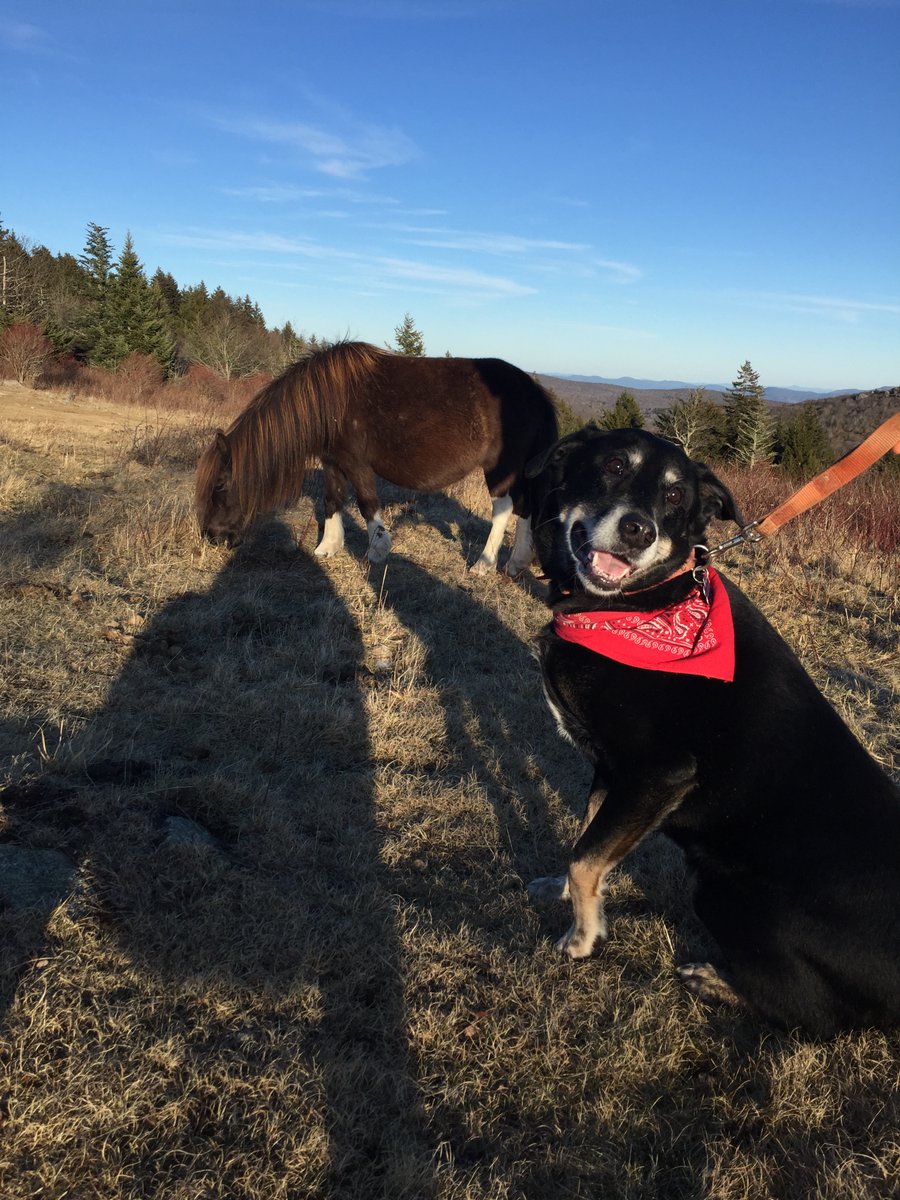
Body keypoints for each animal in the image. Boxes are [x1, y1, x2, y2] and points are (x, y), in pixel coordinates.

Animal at [195, 340, 559, 574]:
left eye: (220, 485)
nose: (213, 536)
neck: (329, 402)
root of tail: (535, 391)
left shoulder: (356, 463)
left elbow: (367, 504)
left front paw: (377, 551)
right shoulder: (332, 461)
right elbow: (332, 500)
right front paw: (327, 547)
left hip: (500, 468)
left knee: (504, 508)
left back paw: (484, 564)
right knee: (525, 508)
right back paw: (516, 562)